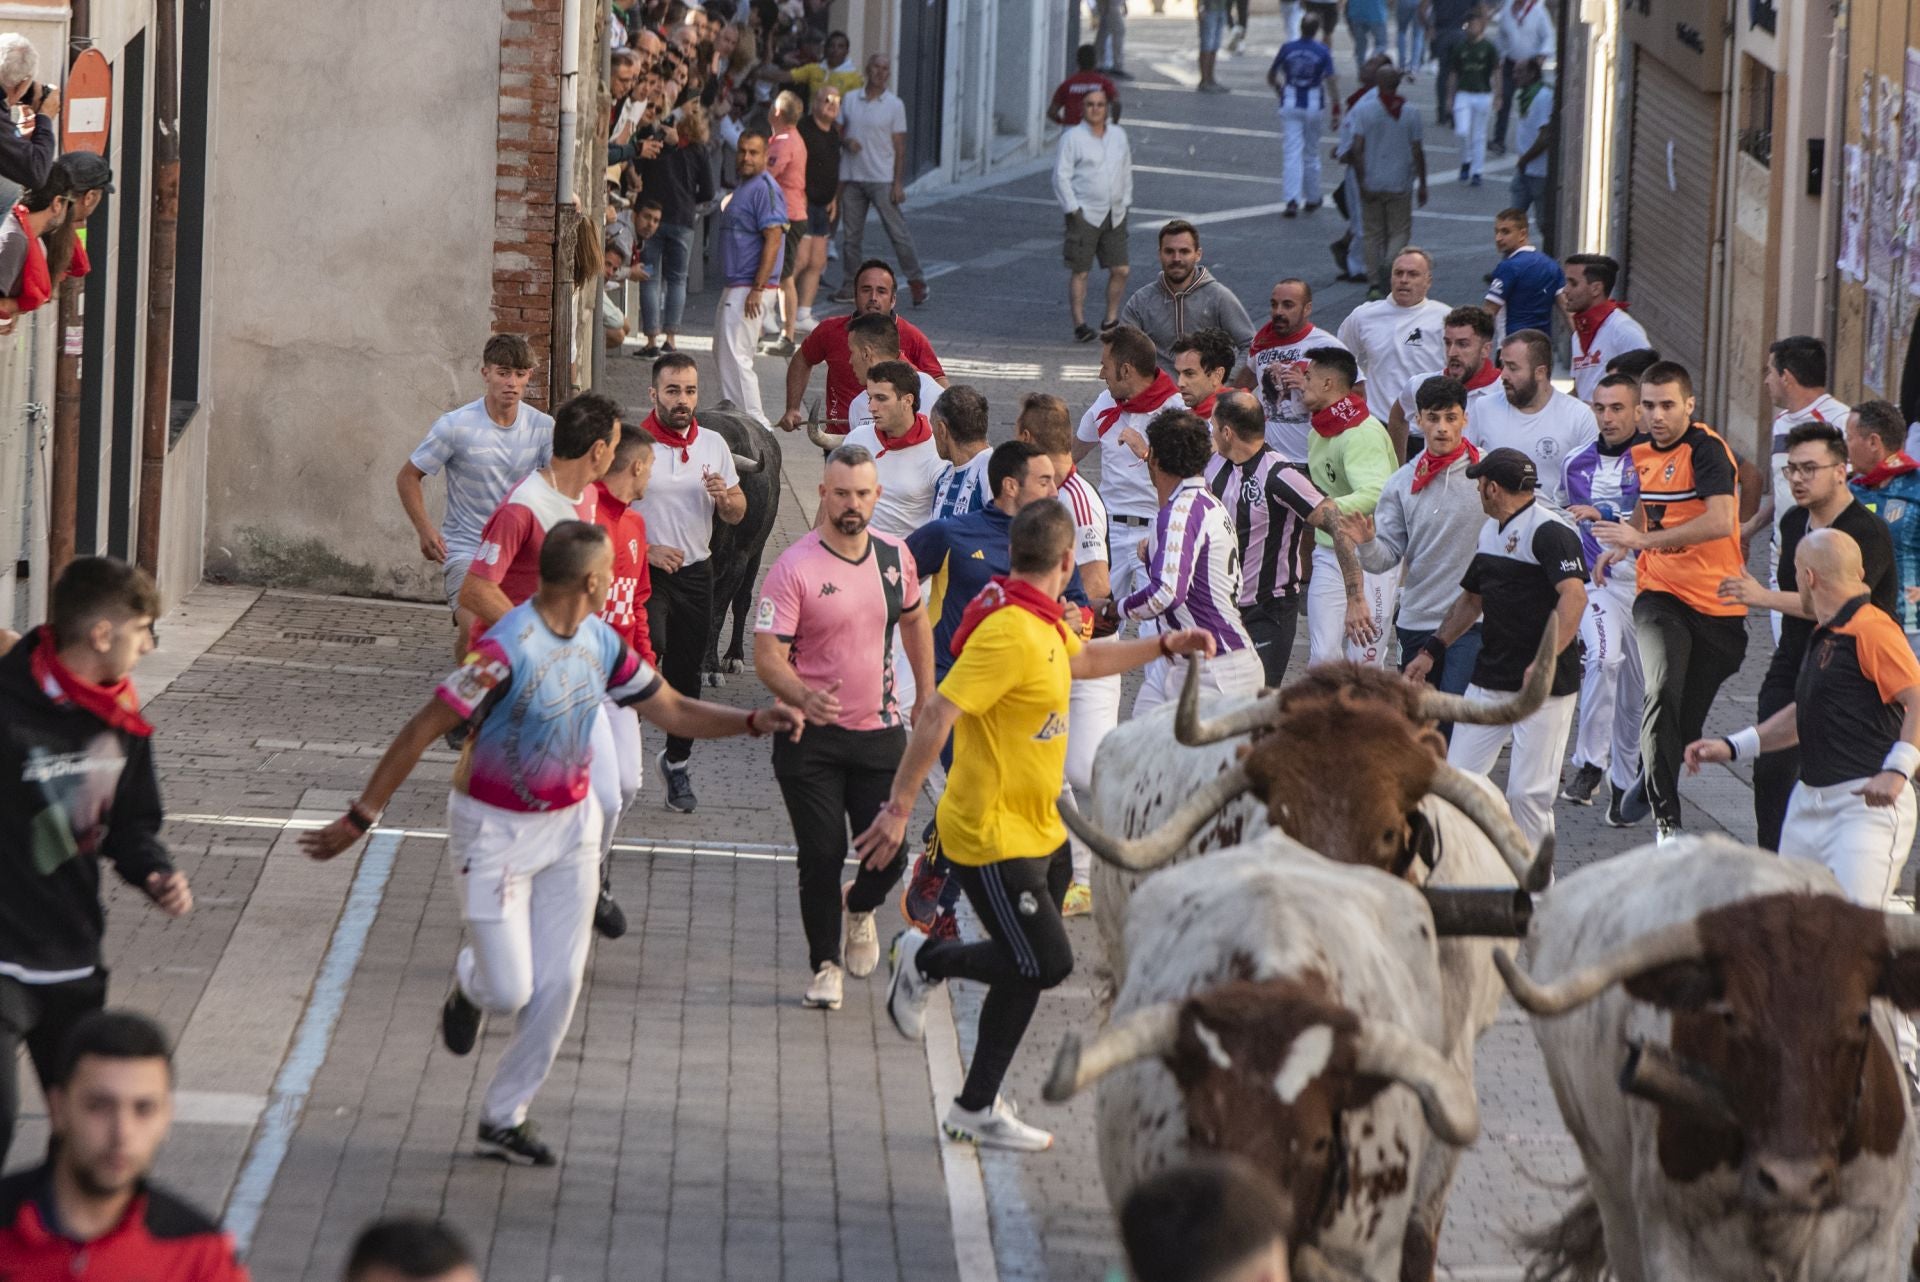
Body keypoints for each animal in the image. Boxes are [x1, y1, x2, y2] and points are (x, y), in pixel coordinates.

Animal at [1497, 836, 1920, 1282]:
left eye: (1861, 1017)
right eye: (1730, 1016)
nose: (1793, 1181)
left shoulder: (1871, 1244)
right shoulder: (1674, 1246)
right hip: (1611, 1191)